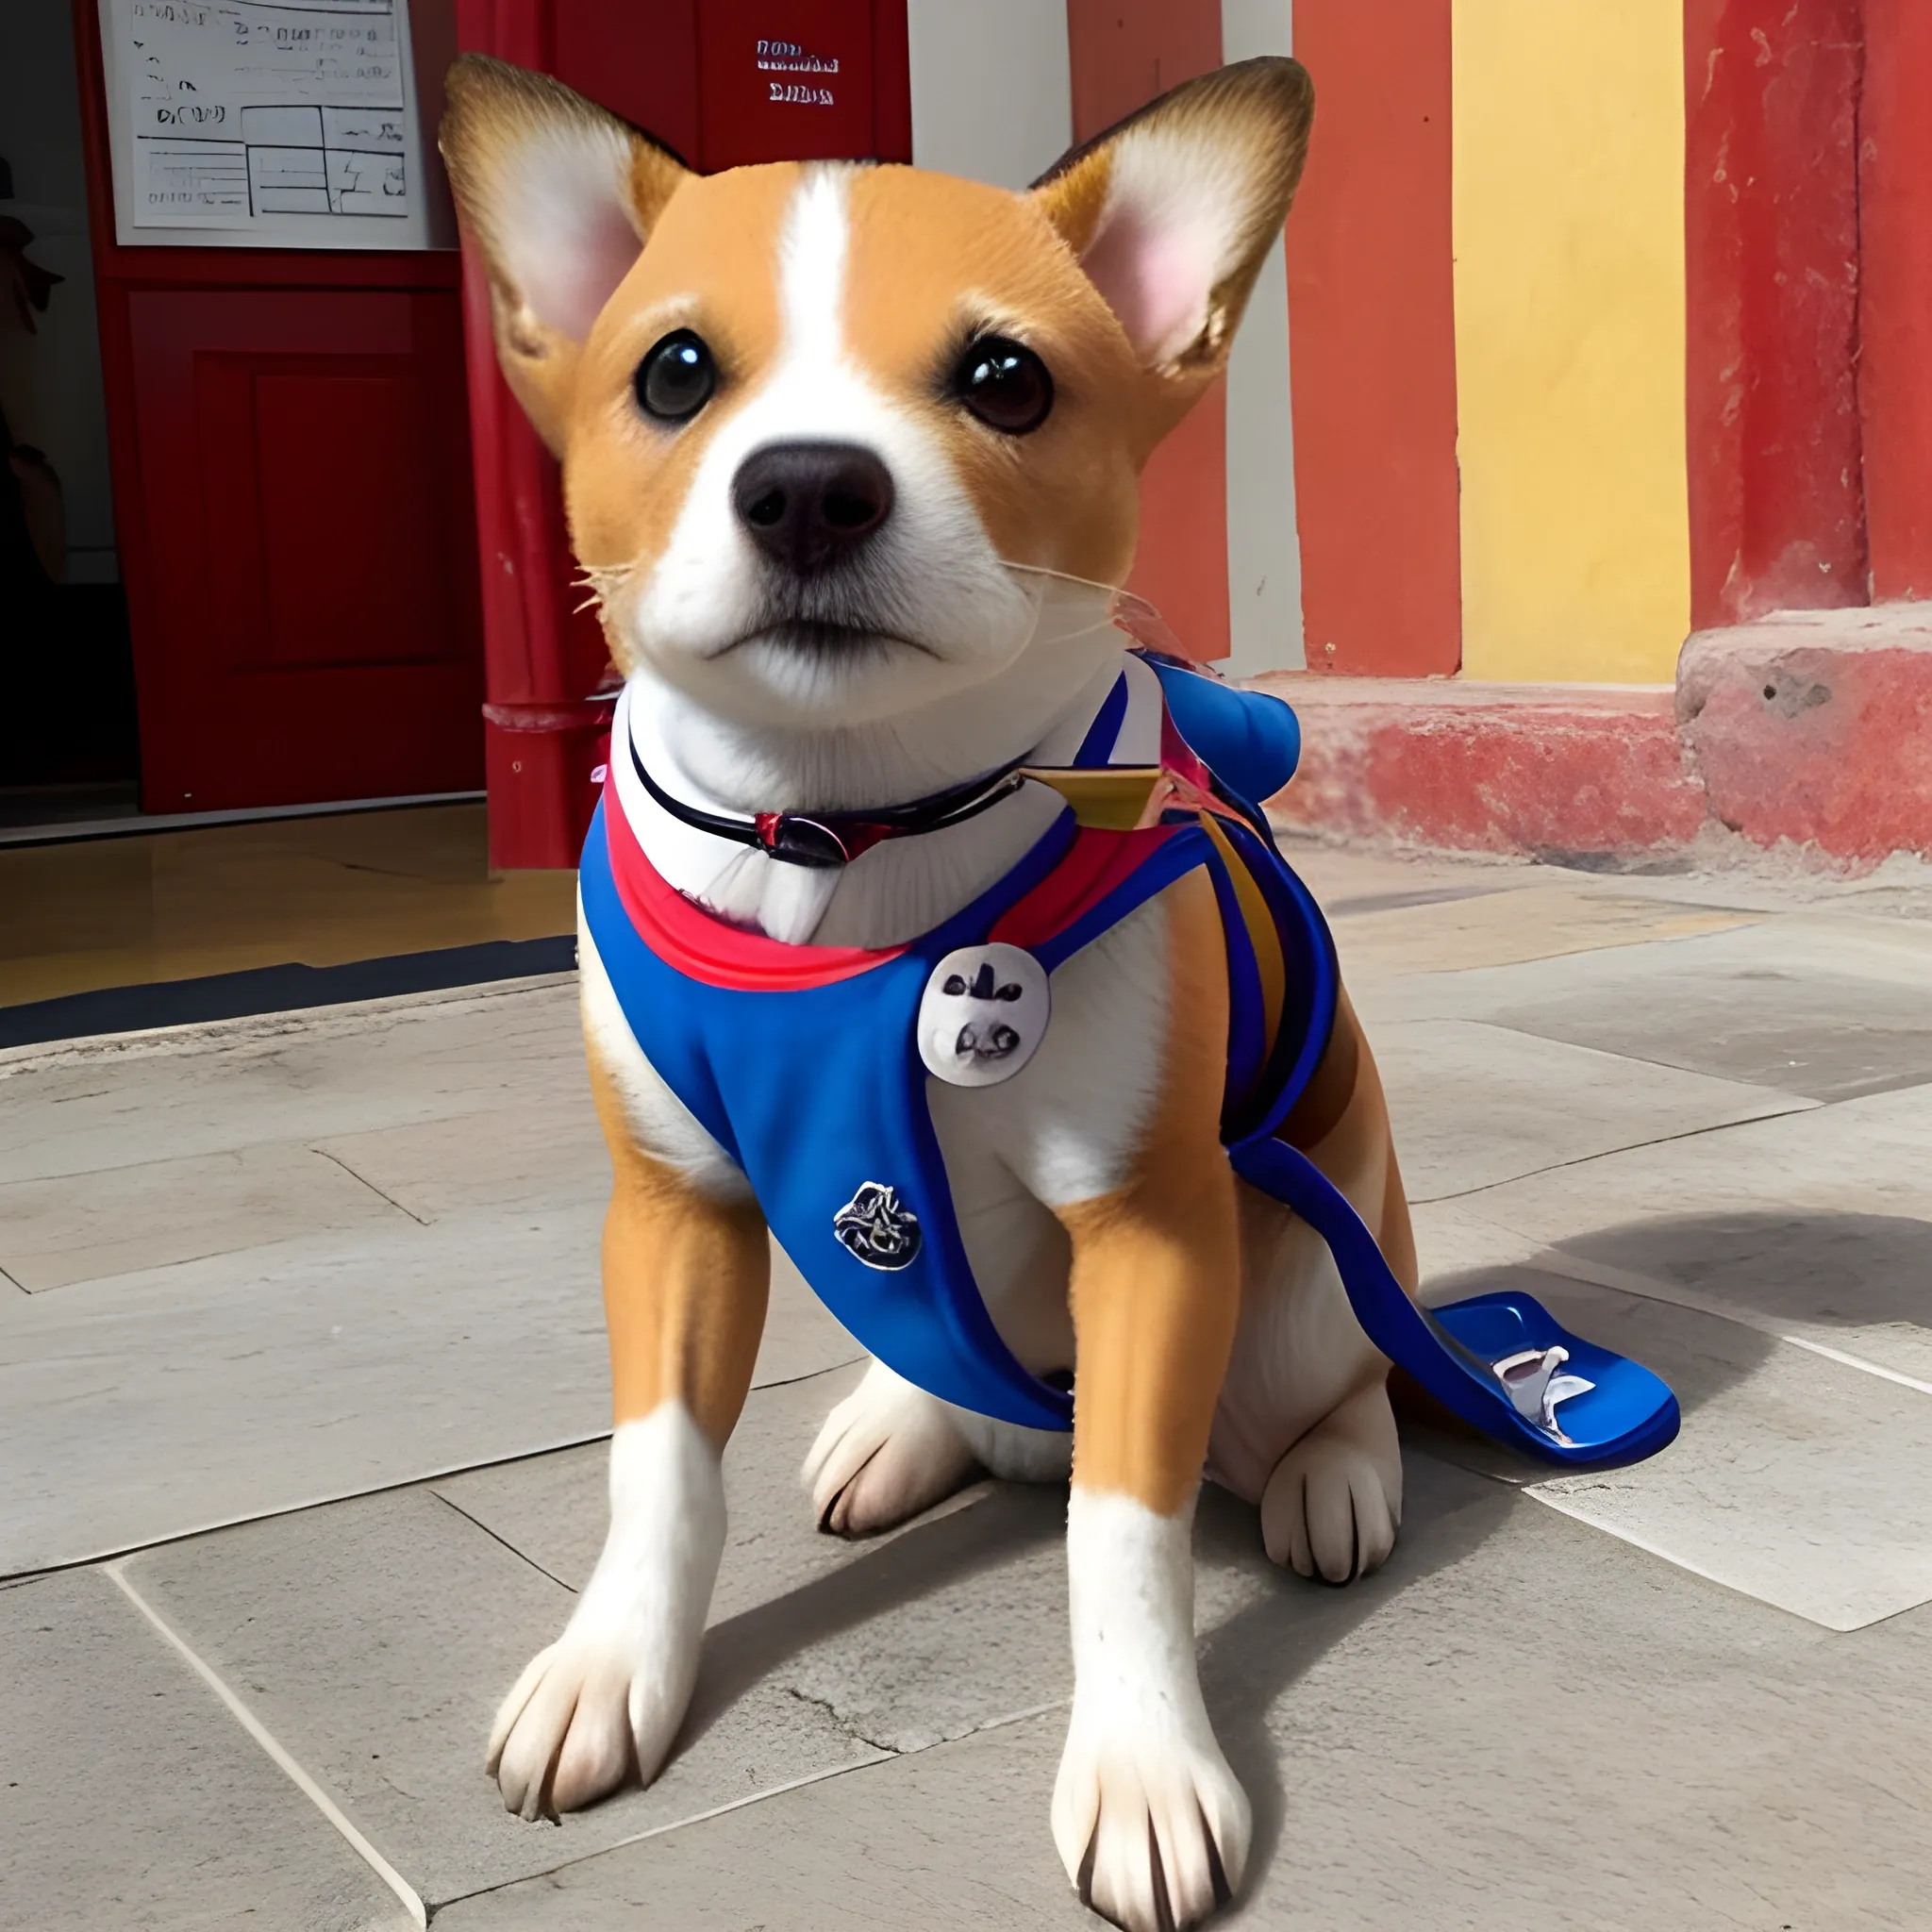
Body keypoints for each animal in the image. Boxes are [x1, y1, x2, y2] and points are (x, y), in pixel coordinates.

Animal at [438, 53, 1414, 1924]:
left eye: (1004, 379)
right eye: (675, 370)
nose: (810, 486)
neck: (842, 827)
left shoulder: (1153, 1227)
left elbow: (1125, 1525)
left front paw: (1142, 1762)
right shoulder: (668, 1209)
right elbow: (657, 1467)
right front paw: (612, 1663)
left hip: (1308, 1262)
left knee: (1332, 1380)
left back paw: (1333, 1472)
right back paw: (904, 1423)